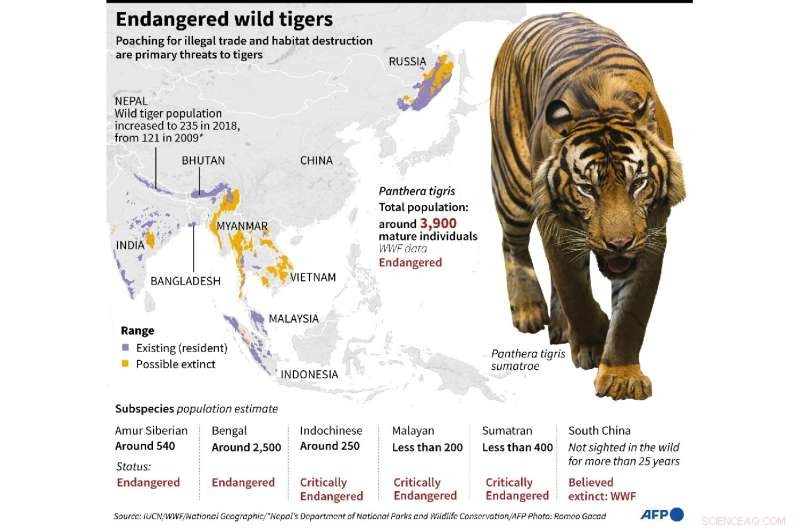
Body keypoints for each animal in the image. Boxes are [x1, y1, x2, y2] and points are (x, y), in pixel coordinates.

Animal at [490, 13, 685, 400]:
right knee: (512, 243)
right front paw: (593, 341)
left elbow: (632, 310)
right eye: (586, 188)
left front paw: (621, 376)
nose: (619, 244)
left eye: (637, 183)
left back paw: (561, 327)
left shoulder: (652, 232)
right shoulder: (555, 226)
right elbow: (573, 288)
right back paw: (529, 310)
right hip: (513, 181)